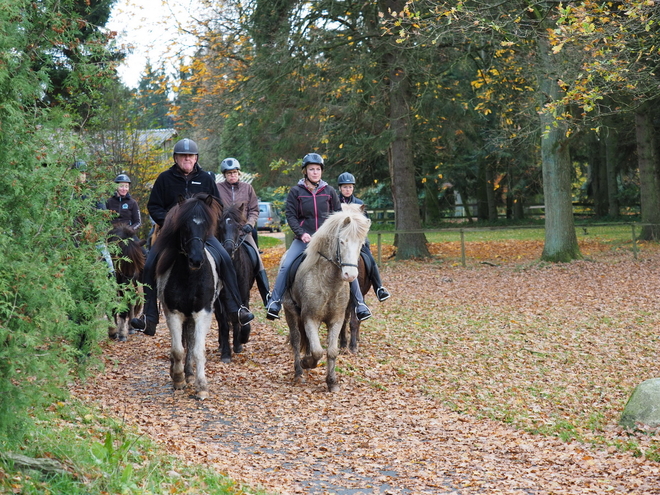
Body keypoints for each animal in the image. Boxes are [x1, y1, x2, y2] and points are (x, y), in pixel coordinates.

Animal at [155, 192, 224, 402]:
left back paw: (190, 374)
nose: (196, 260)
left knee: (191, 342)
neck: (189, 277)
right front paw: (178, 379)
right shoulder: (173, 313)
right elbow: (177, 349)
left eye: (206, 225)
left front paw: (201, 386)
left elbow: (197, 350)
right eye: (184, 225)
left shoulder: (203, 313)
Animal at [214, 202, 255, 364]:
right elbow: (225, 324)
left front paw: (240, 342)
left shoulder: (244, 295)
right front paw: (226, 353)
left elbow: (240, 320)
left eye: (239, 227)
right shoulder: (221, 300)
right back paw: (221, 346)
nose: (228, 249)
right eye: (220, 226)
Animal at [282, 203, 368, 394]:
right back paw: (299, 372)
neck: (328, 283)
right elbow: (317, 351)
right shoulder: (310, 318)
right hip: (290, 311)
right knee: (296, 339)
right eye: (342, 241)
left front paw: (332, 382)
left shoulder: (336, 319)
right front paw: (306, 363)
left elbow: (331, 351)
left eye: (361, 243)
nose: (350, 275)